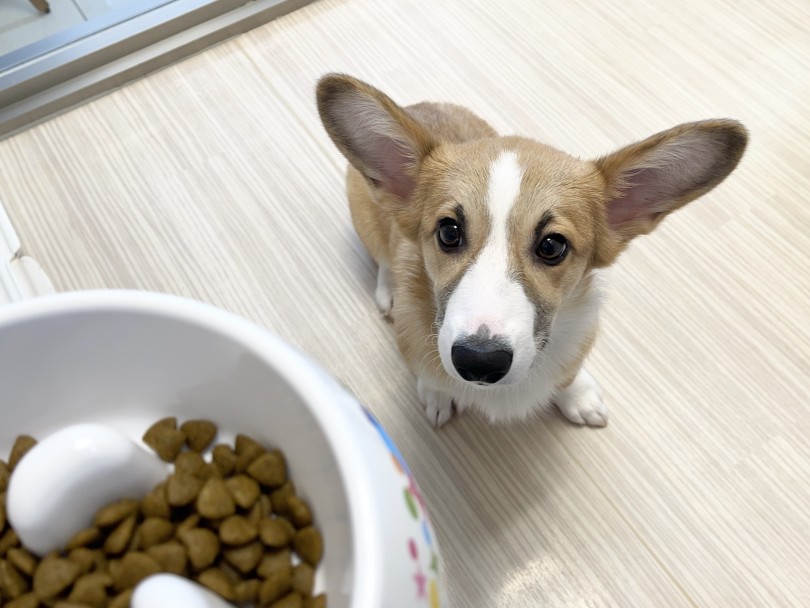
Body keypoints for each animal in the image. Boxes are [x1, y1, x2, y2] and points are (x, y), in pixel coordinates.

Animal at [314, 73, 744, 428]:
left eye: (552, 246)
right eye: (449, 232)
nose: (479, 362)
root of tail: (417, 104)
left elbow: (569, 374)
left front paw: (578, 394)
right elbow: (428, 375)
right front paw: (438, 395)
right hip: (367, 221)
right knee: (384, 257)